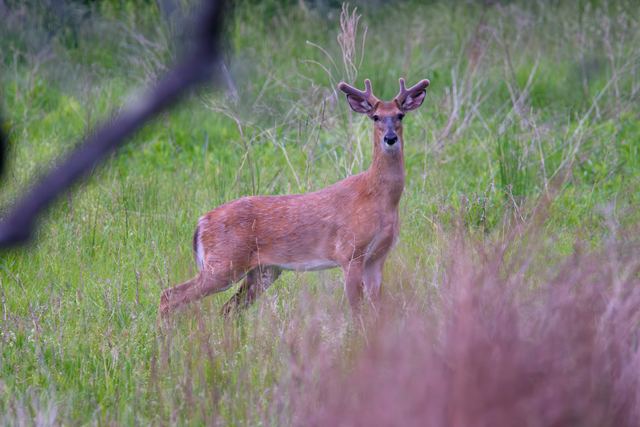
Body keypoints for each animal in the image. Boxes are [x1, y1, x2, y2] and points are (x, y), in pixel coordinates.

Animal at [159, 78, 430, 317]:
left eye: (400, 115)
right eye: (375, 117)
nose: (390, 138)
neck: (379, 198)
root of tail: (201, 222)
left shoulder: (377, 258)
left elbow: (377, 310)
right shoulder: (350, 252)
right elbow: (356, 310)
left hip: (263, 271)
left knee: (227, 310)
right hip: (224, 263)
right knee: (169, 296)